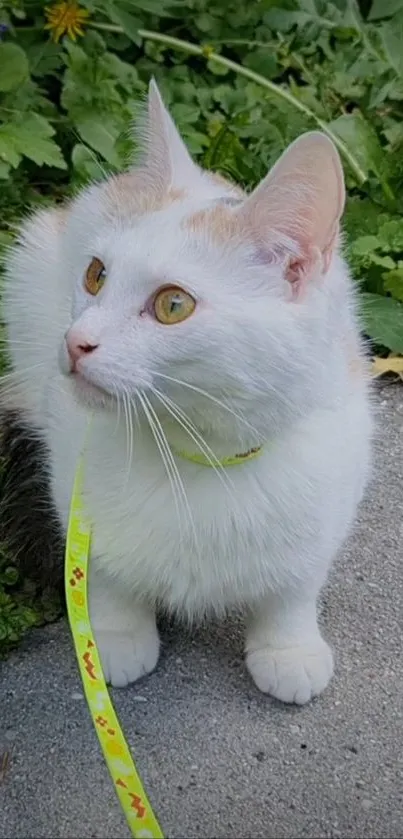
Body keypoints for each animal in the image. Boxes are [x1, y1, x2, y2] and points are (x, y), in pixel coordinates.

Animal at [2, 83, 372, 704]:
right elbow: (105, 567)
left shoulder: (337, 476)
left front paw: (288, 647)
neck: (198, 452)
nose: (76, 342)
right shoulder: (74, 475)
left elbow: (297, 581)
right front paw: (114, 636)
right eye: (96, 274)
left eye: (173, 304)